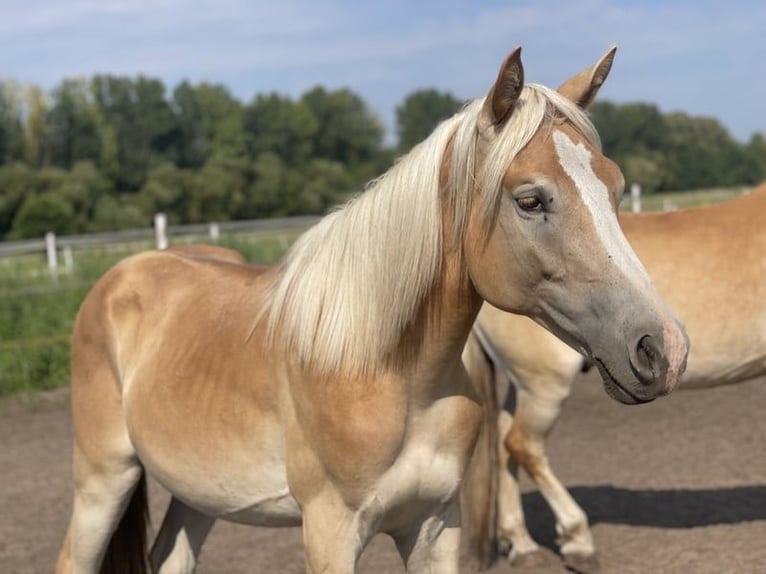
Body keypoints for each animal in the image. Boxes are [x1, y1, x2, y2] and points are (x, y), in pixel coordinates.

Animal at [55, 46, 689, 574]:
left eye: (615, 187)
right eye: (530, 200)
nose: (664, 348)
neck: (386, 372)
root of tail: (120, 278)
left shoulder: (434, 528)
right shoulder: (330, 534)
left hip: (198, 496)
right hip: (103, 480)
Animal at [464, 183, 766, 571]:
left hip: (526, 383)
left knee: (504, 444)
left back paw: (522, 544)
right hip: (545, 384)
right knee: (523, 444)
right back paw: (578, 541)